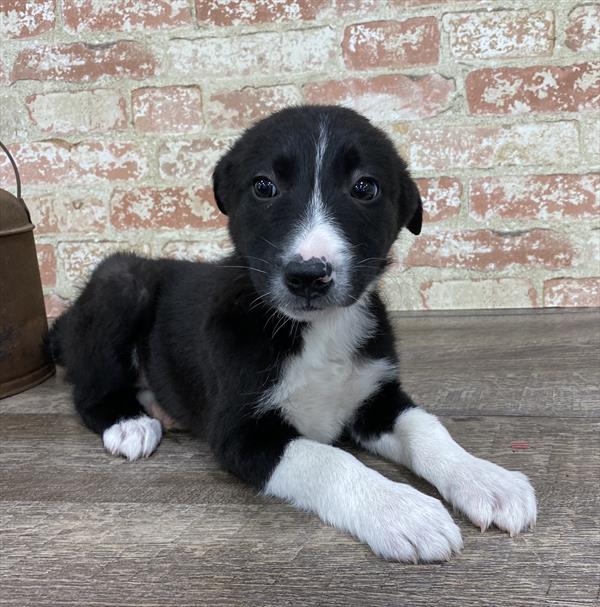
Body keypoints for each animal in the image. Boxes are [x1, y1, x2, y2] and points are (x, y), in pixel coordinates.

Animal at [49, 105, 536, 564]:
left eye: (365, 188)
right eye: (264, 186)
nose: (308, 276)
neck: (318, 331)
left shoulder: (376, 397)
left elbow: (426, 429)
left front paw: (487, 479)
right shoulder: (242, 432)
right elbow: (330, 460)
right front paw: (403, 511)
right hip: (119, 282)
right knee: (89, 389)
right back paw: (129, 423)